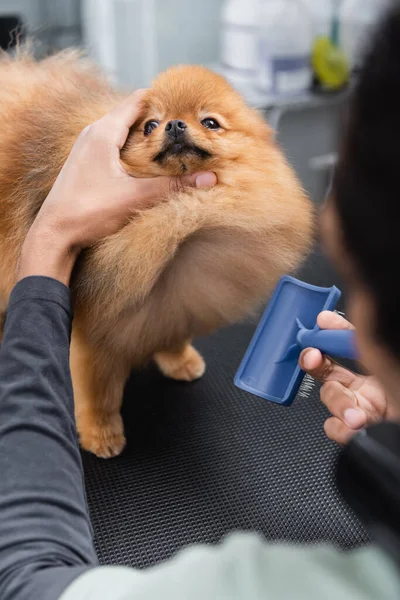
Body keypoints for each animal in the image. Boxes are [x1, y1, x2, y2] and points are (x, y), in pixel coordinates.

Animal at [0, 49, 314, 458]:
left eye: (210, 122)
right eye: (150, 125)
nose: (175, 125)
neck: (179, 232)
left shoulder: (176, 302)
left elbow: (172, 331)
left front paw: (179, 359)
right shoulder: (95, 330)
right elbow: (99, 391)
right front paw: (101, 433)